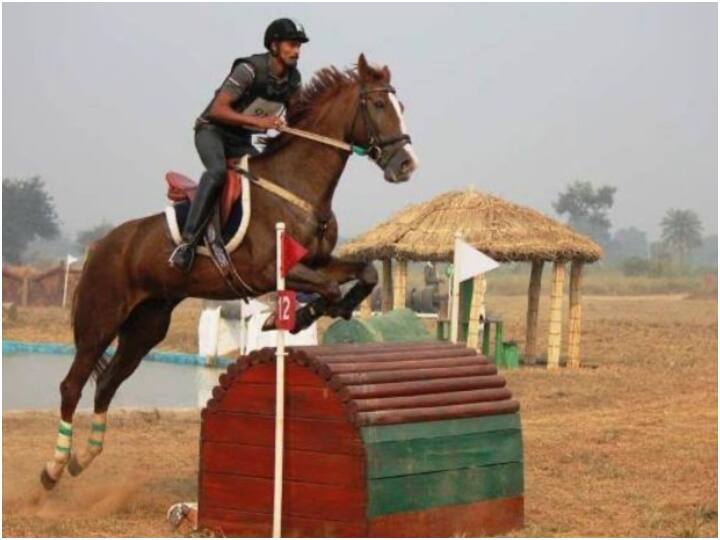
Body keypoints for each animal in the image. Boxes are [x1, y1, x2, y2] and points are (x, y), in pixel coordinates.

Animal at [40, 53, 422, 490]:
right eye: (377, 105)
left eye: (400, 106)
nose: (407, 165)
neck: (298, 184)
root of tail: (101, 246)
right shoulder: (269, 271)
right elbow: (324, 289)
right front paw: (289, 318)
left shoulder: (316, 261)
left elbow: (366, 273)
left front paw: (337, 309)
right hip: (101, 320)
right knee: (73, 384)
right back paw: (54, 468)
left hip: (146, 326)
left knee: (107, 382)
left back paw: (83, 458)